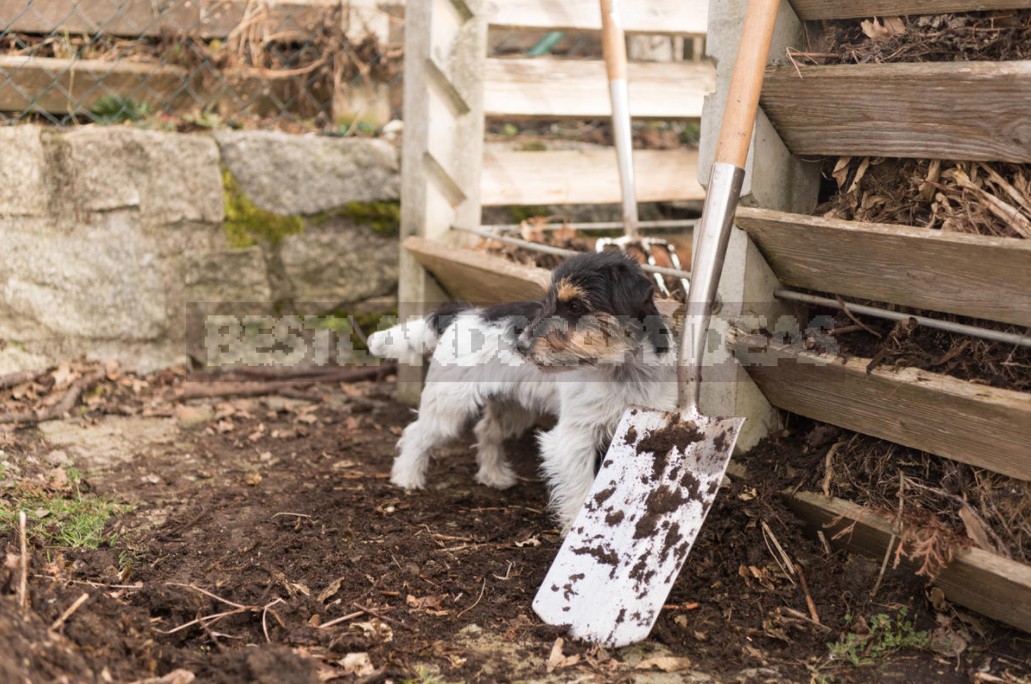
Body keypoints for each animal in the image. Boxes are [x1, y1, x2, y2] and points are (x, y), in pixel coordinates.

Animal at [369, 251, 676, 528]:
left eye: (576, 306)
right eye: (549, 301)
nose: (521, 346)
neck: (622, 367)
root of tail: (461, 314)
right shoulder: (574, 437)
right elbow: (579, 487)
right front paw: (574, 528)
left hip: (512, 408)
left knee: (486, 431)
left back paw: (493, 476)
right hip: (448, 406)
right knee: (416, 433)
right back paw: (406, 478)